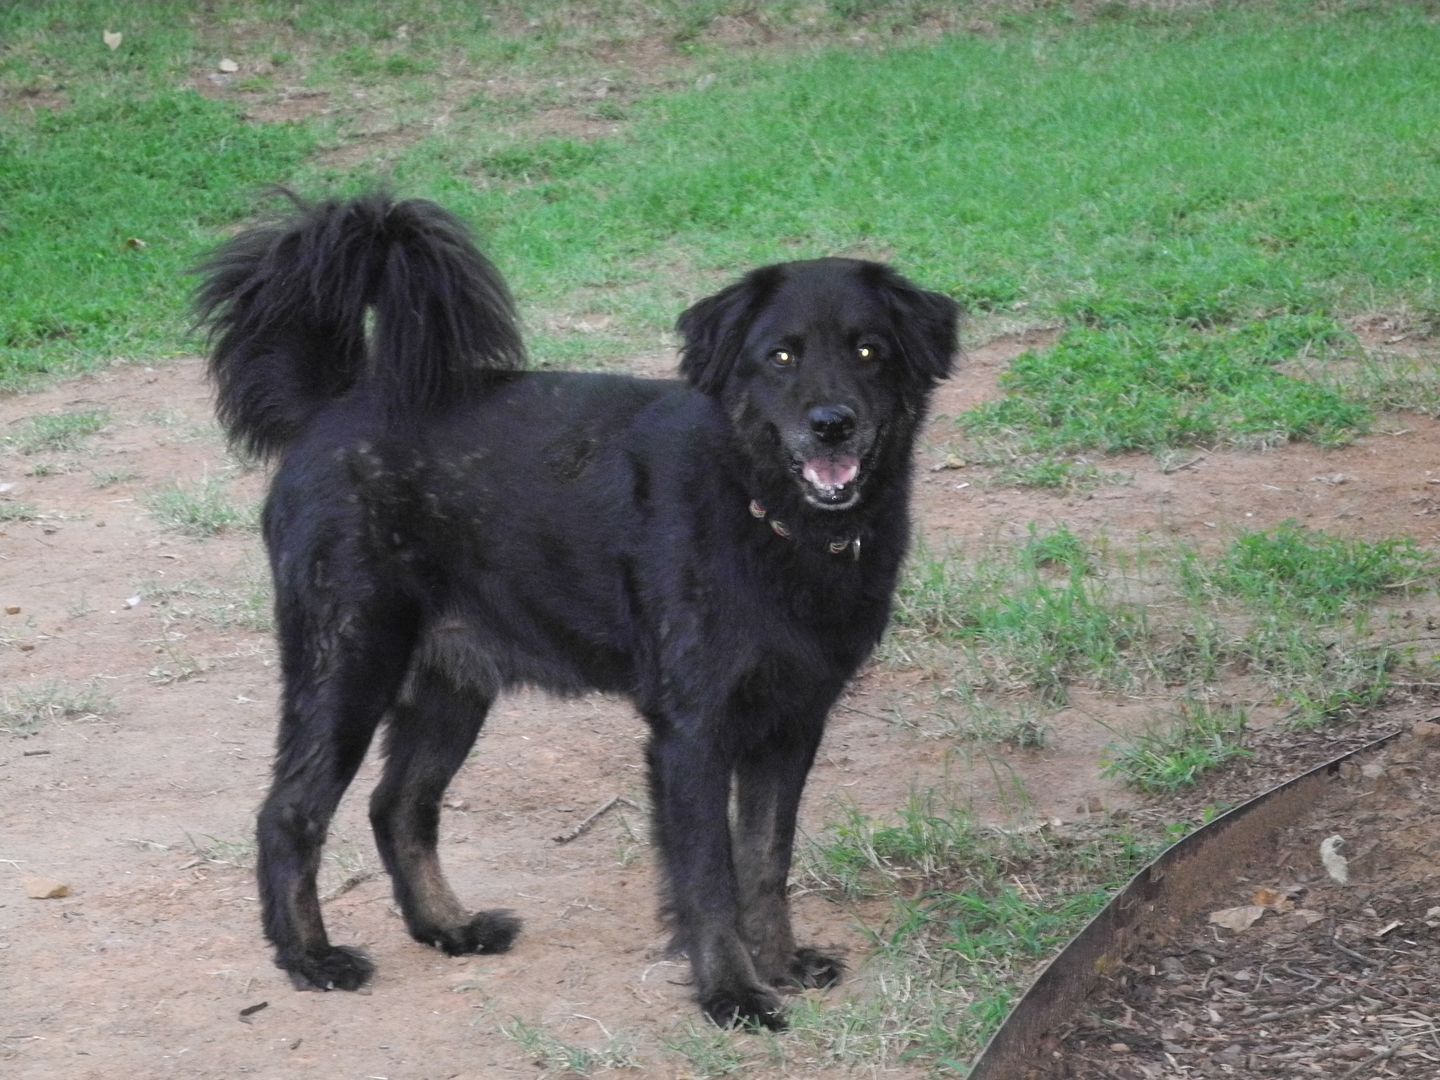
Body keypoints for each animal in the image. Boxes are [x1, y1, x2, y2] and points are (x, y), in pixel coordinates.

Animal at [194, 194, 956, 1031]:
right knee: (289, 812)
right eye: (780, 357)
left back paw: (448, 927)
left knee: (398, 807)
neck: (768, 512)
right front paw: (730, 992)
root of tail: (328, 407)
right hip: (348, 667)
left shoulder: (791, 724)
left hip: (451, 687)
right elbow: (709, 879)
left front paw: (781, 962)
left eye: (869, 351)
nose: (832, 423)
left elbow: (765, 861)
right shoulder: (692, 733)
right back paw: (310, 959)